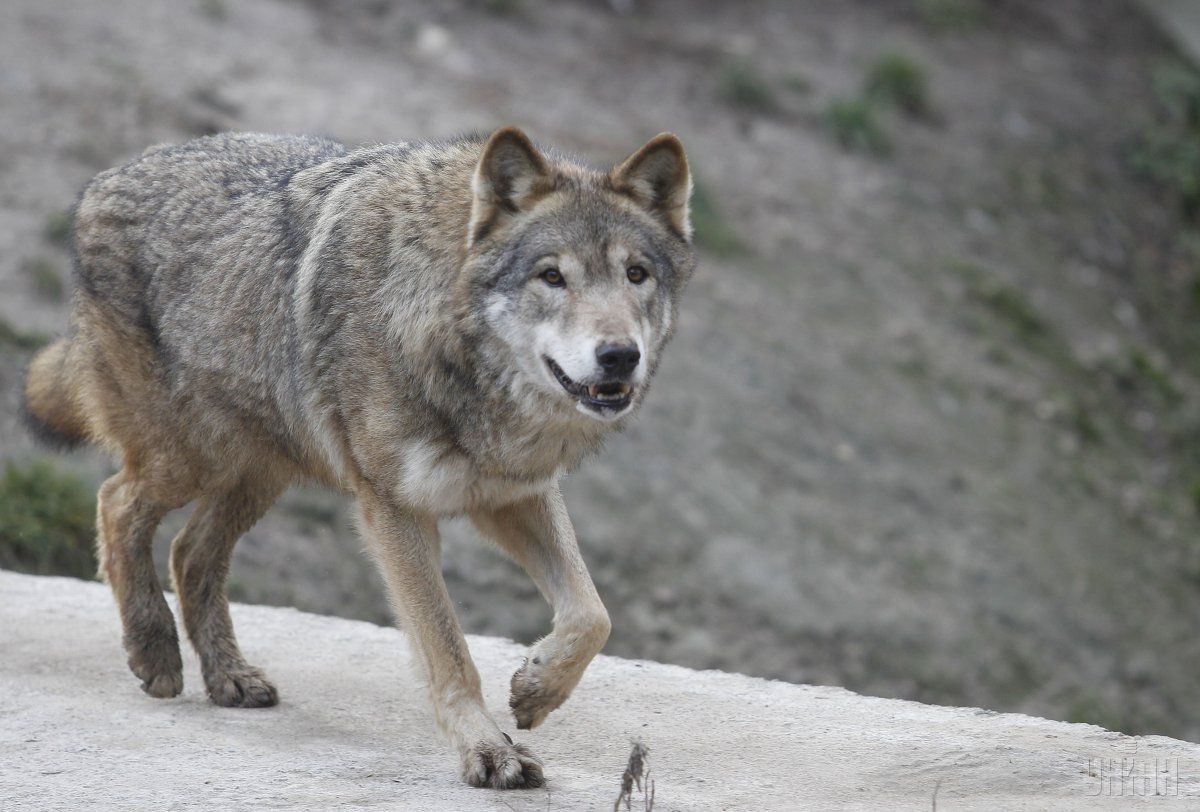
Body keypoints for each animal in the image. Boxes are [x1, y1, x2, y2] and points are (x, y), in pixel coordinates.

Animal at [21, 126, 696, 786]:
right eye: (552, 276)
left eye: (636, 274)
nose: (619, 357)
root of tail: (106, 178)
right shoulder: (395, 509)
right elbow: (449, 650)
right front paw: (487, 750)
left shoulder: (512, 490)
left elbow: (592, 613)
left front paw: (536, 689)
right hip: (194, 458)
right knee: (116, 503)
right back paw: (154, 649)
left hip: (261, 471)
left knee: (189, 552)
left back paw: (228, 677)